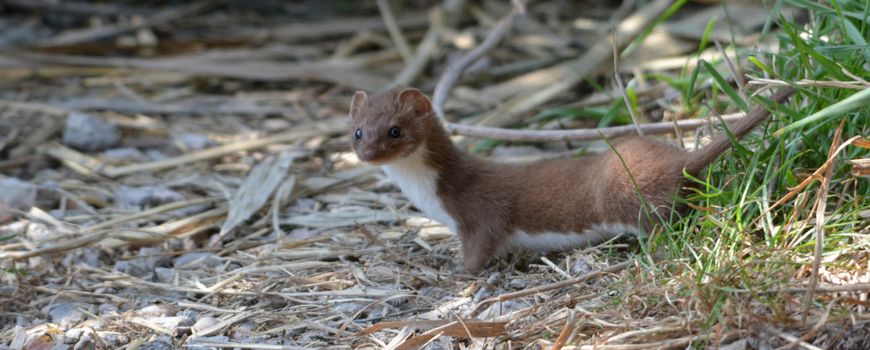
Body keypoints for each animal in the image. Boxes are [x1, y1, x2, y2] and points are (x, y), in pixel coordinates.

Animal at [350, 87, 796, 270]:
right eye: (357, 131)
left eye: (394, 130)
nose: (367, 154)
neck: (431, 197)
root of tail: (680, 160)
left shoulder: (479, 215)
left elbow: (479, 249)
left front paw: (457, 273)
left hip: (629, 196)